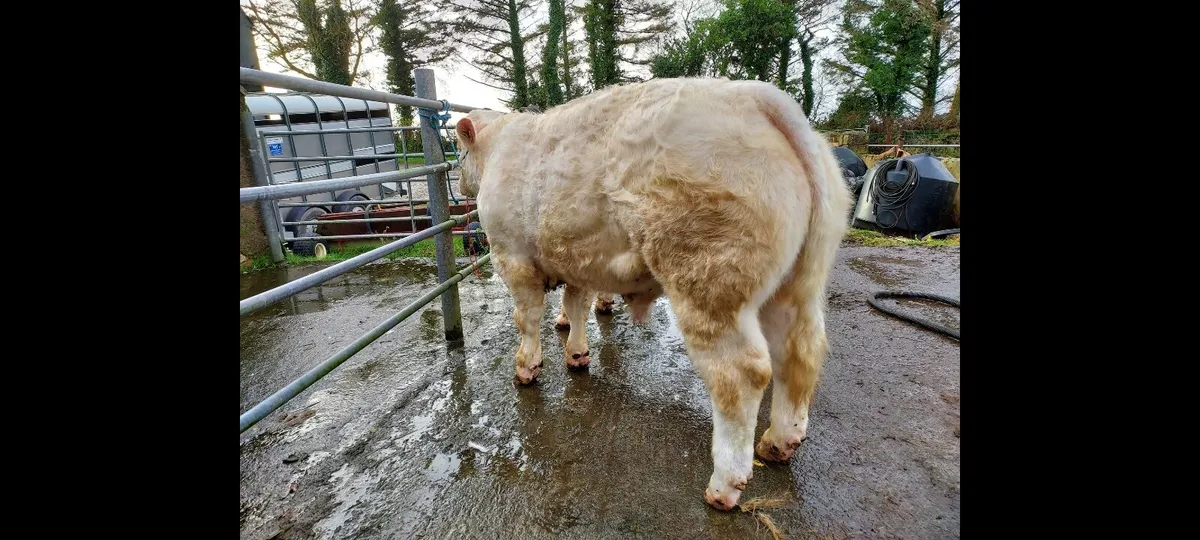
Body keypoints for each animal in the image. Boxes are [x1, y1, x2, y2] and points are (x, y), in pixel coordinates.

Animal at [453, 77, 853, 511]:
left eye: (459, 150)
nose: (457, 182)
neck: (500, 147)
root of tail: (758, 97)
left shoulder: (512, 257)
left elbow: (526, 319)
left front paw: (527, 367)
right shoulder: (576, 259)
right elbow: (575, 307)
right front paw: (576, 354)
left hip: (709, 281)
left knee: (741, 374)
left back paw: (724, 484)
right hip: (797, 285)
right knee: (799, 353)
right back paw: (781, 441)